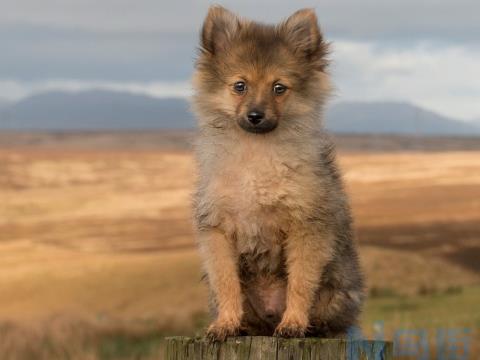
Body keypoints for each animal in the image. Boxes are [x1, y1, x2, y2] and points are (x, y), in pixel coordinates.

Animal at [191, 6, 364, 340]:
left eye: (278, 88)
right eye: (240, 86)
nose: (255, 116)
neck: (256, 155)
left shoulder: (306, 227)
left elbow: (300, 282)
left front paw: (294, 323)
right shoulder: (217, 230)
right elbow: (226, 283)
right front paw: (225, 324)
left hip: (336, 290)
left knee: (331, 318)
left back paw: (311, 327)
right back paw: (244, 326)